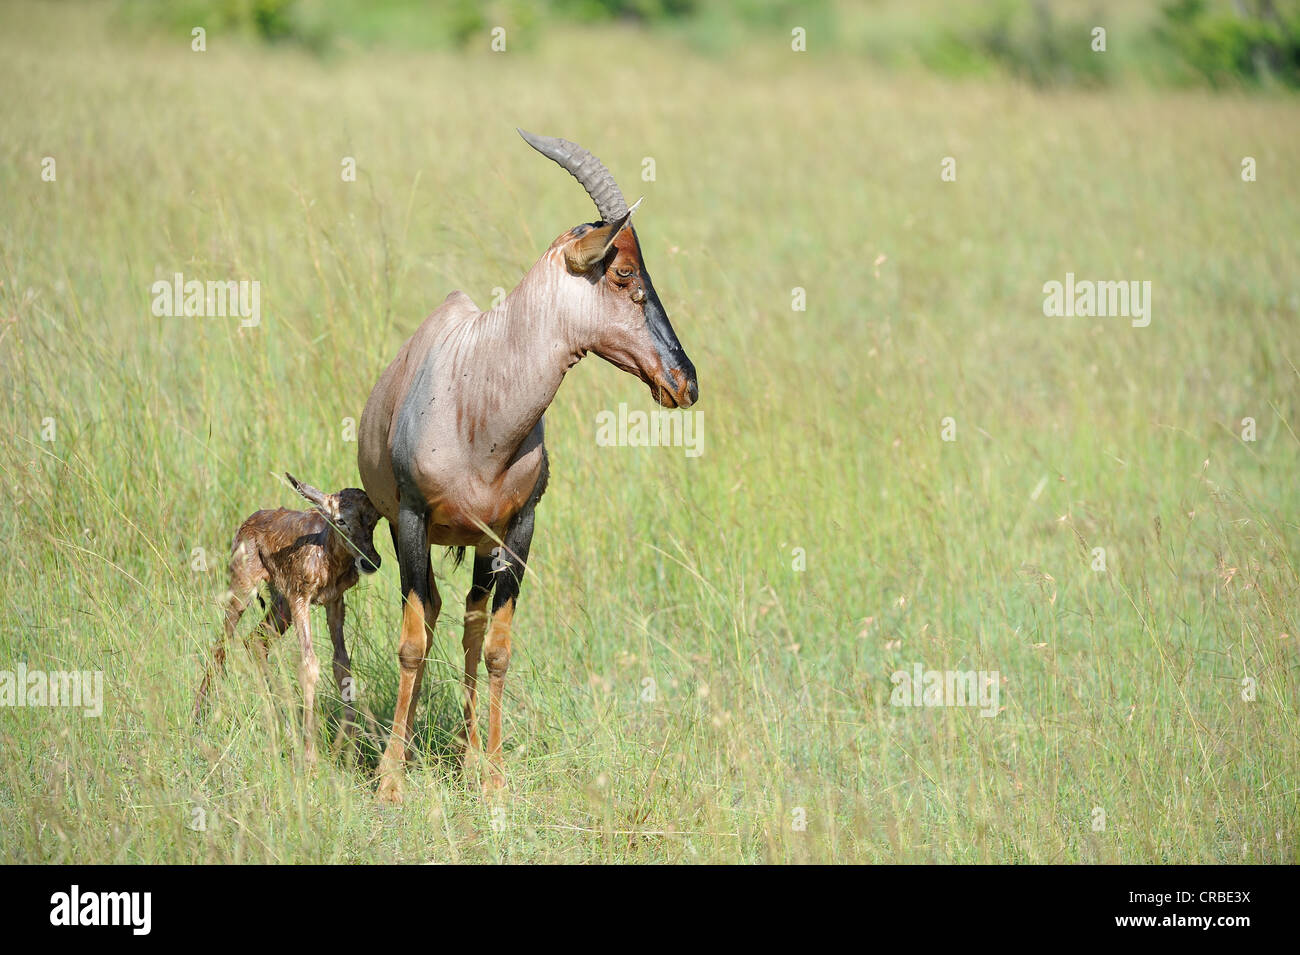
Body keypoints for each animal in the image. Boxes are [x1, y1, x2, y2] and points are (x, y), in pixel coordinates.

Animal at [356, 128, 702, 800]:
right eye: (623, 273)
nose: (685, 381)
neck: (477, 393)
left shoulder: (519, 529)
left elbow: (498, 648)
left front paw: (491, 780)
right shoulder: (410, 518)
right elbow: (411, 643)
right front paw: (389, 782)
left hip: (478, 543)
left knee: (467, 620)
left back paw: (467, 758)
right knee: (431, 617)